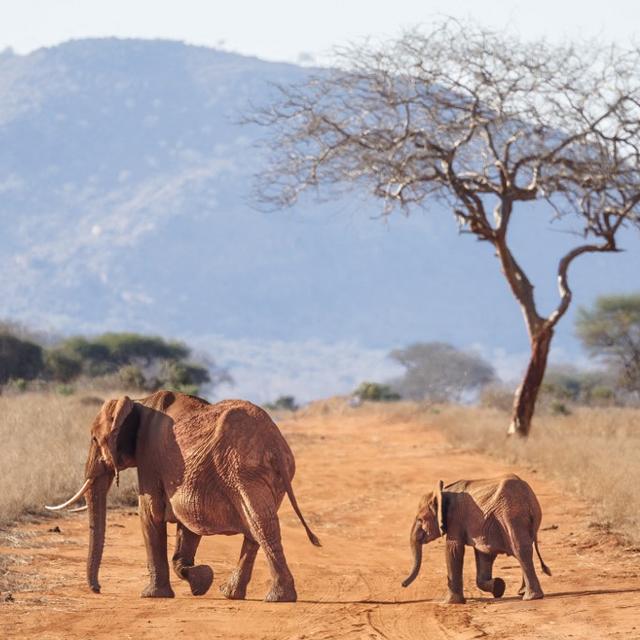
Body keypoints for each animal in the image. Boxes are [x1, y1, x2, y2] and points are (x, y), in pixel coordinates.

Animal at [46, 388, 320, 604]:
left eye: (94, 438)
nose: (98, 589)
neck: (138, 402)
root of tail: (274, 443)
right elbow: (187, 523)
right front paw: (201, 581)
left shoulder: (150, 458)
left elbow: (150, 514)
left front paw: (152, 595)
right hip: (264, 475)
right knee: (256, 527)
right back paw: (231, 593)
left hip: (243, 469)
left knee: (260, 524)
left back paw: (277, 598)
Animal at [404, 476, 552, 604]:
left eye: (420, 520)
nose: (402, 584)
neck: (442, 492)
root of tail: (529, 499)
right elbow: (483, 554)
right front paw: (498, 586)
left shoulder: (455, 518)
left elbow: (453, 549)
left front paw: (449, 603)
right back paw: (522, 593)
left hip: (511, 516)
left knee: (520, 550)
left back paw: (531, 597)